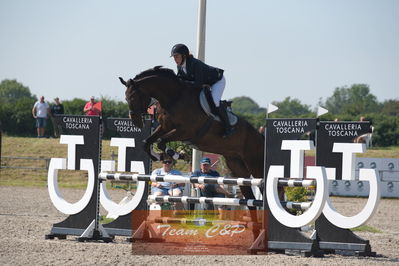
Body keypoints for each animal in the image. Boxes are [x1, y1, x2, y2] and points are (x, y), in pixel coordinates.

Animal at [120, 66, 268, 224]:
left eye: (134, 97)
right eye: (126, 98)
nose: (136, 122)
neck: (174, 98)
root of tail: (260, 136)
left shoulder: (186, 131)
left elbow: (160, 142)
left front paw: (177, 154)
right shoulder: (164, 127)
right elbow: (148, 142)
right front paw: (158, 156)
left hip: (254, 162)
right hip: (236, 165)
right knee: (249, 197)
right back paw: (254, 225)